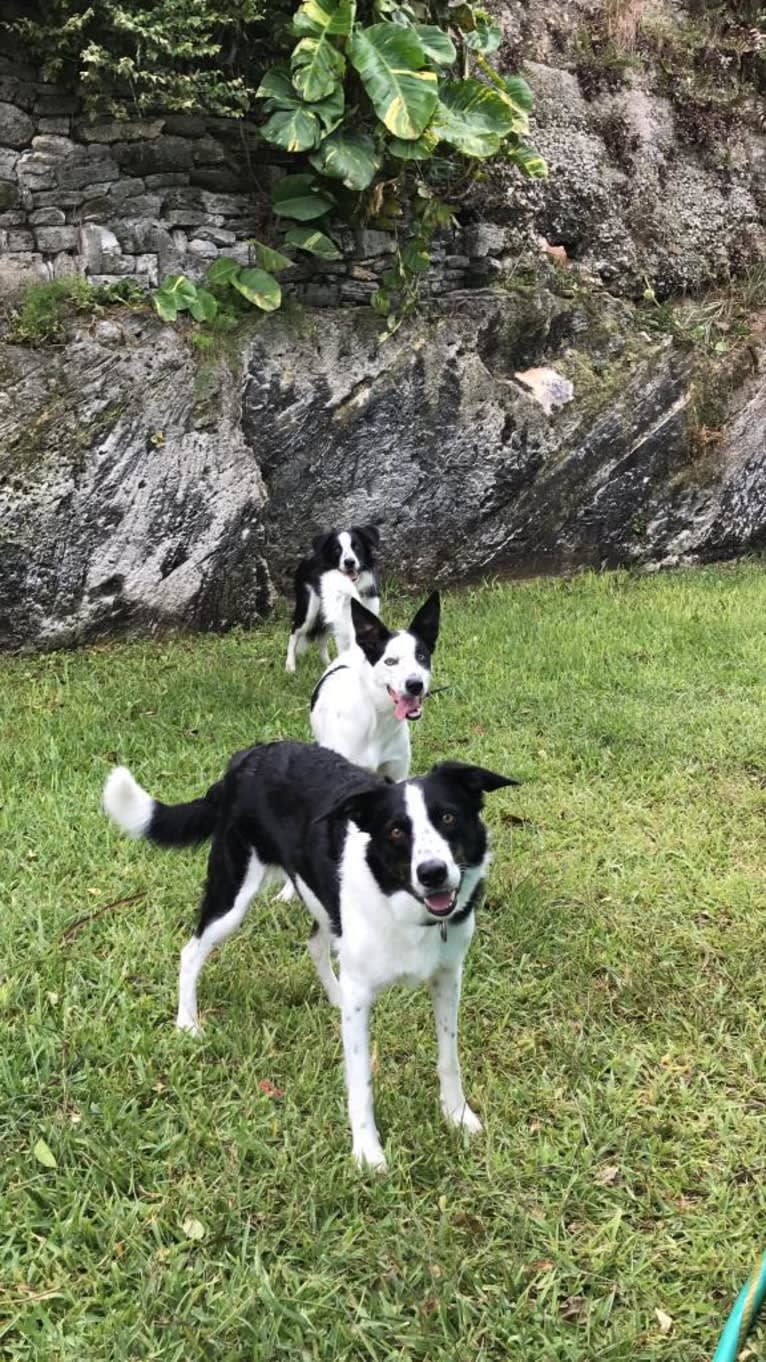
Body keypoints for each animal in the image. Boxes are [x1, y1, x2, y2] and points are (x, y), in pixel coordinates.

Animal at [101, 746, 512, 1171]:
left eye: (448, 817)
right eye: (396, 832)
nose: (433, 873)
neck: (403, 903)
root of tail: (246, 757)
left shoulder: (447, 977)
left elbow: (449, 1058)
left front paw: (458, 1116)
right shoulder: (362, 993)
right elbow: (360, 1080)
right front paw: (368, 1153)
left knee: (315, 943)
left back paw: (332, 995)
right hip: (231, 895)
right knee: (191, 951)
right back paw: (187, 1022)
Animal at [283, 523, 378, 672]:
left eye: (356, 547)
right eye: (337, 549)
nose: (349, 562)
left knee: (321, 640)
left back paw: (328, 664)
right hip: (309, 611)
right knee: (294, 633)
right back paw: (290, 666)